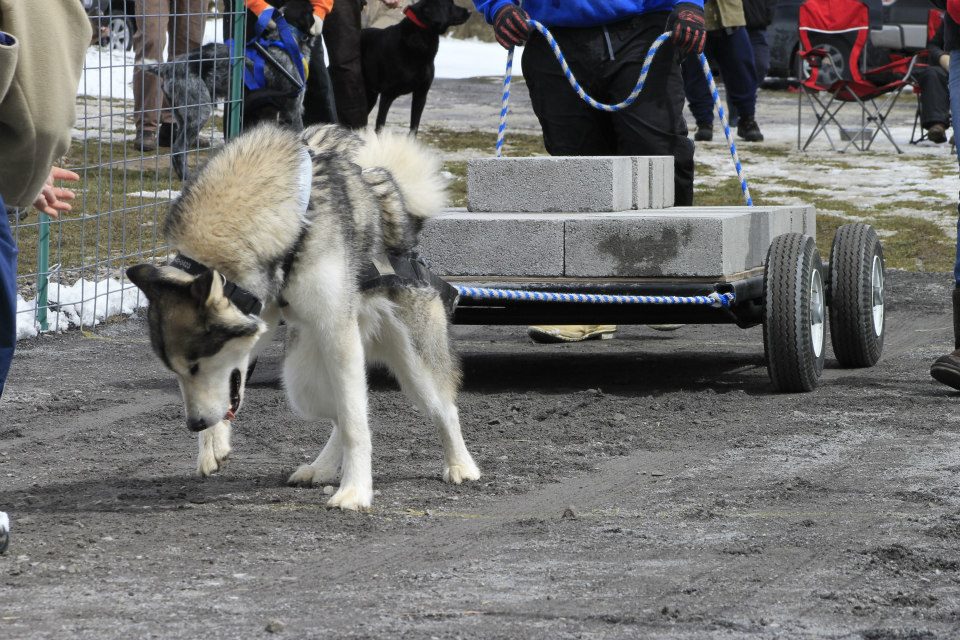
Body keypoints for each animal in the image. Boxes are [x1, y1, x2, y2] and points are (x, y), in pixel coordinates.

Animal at [127, 121, 484, 510]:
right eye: (176, 371)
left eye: (194, 365)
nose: (194, 424)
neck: (294, 223)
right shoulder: (261, 317)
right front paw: (212, 444)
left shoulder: (337, 333)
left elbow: (357, 426)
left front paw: (355, 491)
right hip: (302, 383)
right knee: (340, 415)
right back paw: (321, 469)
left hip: (415, 369)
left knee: (439, 409)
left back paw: (460, 465)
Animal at [360, 0, 468, 134]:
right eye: (450, 4)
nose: (469, 11)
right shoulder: (387, 95)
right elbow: (380, 126)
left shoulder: (421, 94)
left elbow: (414, 127)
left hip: (370, 94)